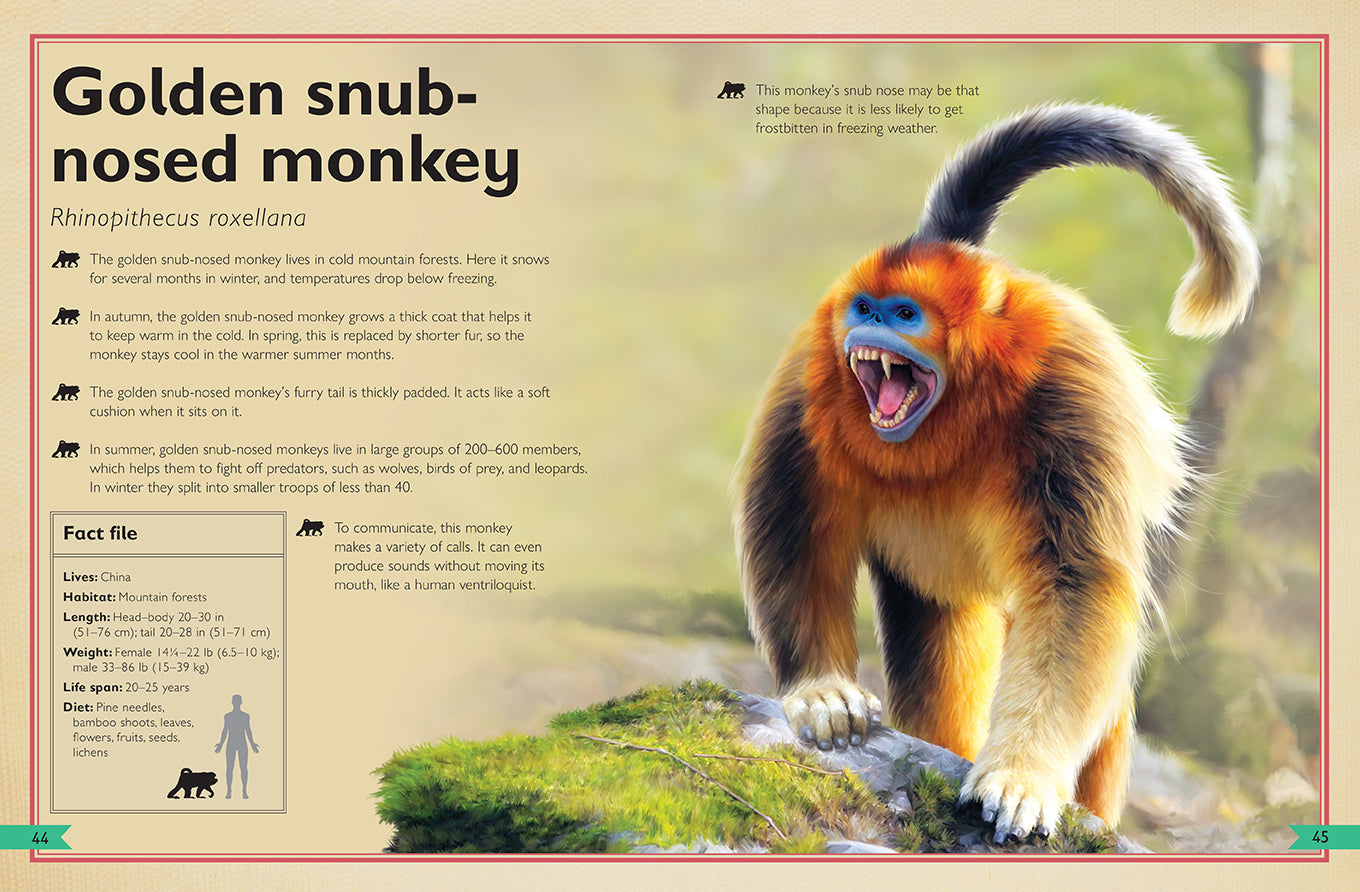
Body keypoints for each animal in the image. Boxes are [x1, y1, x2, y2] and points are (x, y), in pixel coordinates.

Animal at [734, 104, 1257, 843]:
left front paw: (1022, 776)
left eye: (904, 315)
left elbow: (1077, 587)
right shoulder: (811, 373)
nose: (868, 325)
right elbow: (794, 533)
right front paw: (823, 690)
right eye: (865, 308)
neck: (958, 401)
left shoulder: (1069, 397)